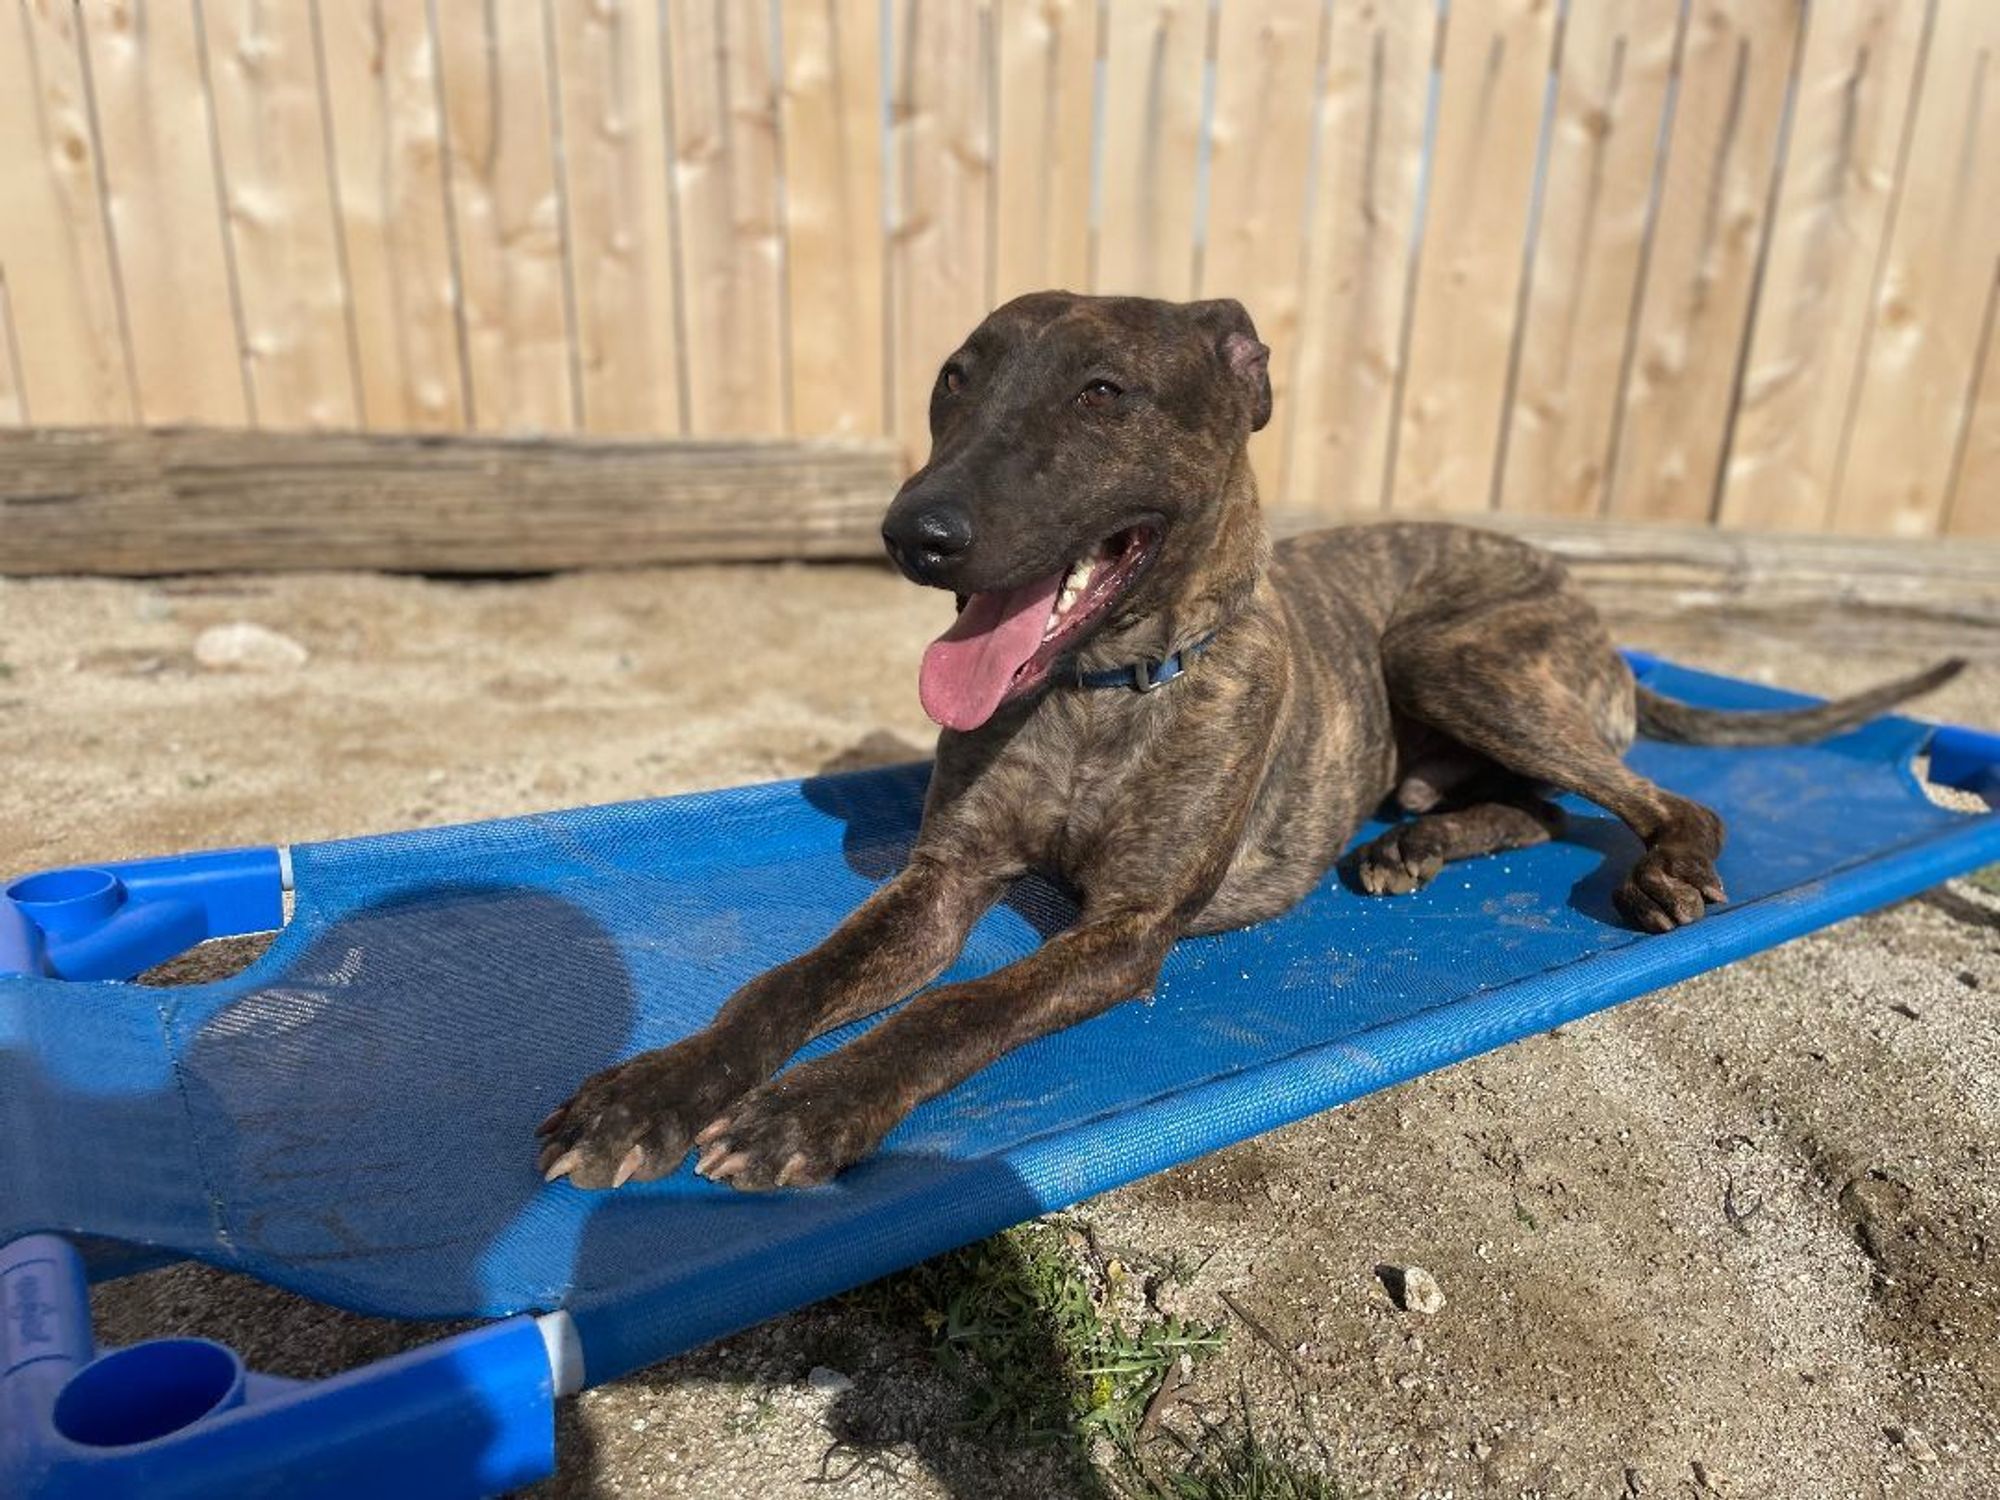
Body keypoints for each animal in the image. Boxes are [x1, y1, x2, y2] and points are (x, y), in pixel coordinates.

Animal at [544, 290, 1968, 1200]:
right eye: (954, 378)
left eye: (1101, 392)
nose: (914, 534)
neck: (1100, 692)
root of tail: (1584, 599)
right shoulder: (940, 882)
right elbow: (785, 983)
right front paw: (651, 1095)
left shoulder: (1121, 934)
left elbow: (955, 1010)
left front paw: (810, 1108)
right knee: (1537, 805)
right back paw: (1420, 843)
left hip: (1457, 655)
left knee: (1647, 798)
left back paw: (1659, 867)